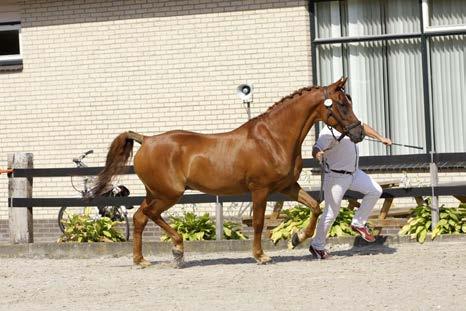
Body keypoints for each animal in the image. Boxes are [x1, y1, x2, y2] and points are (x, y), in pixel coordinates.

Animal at [90, 77, 364, 266]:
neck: (273, 138)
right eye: (341, 104)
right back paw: (177, 250)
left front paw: (296, 238)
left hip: (155, 193)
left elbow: (315, 207)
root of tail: (146, 140)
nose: (359, 133)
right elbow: (258, 223)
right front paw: (261, 256)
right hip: (169, 194)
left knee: (139, 217)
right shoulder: (260, 189)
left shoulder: (287, 187)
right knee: (149, 215)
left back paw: (142, 260)